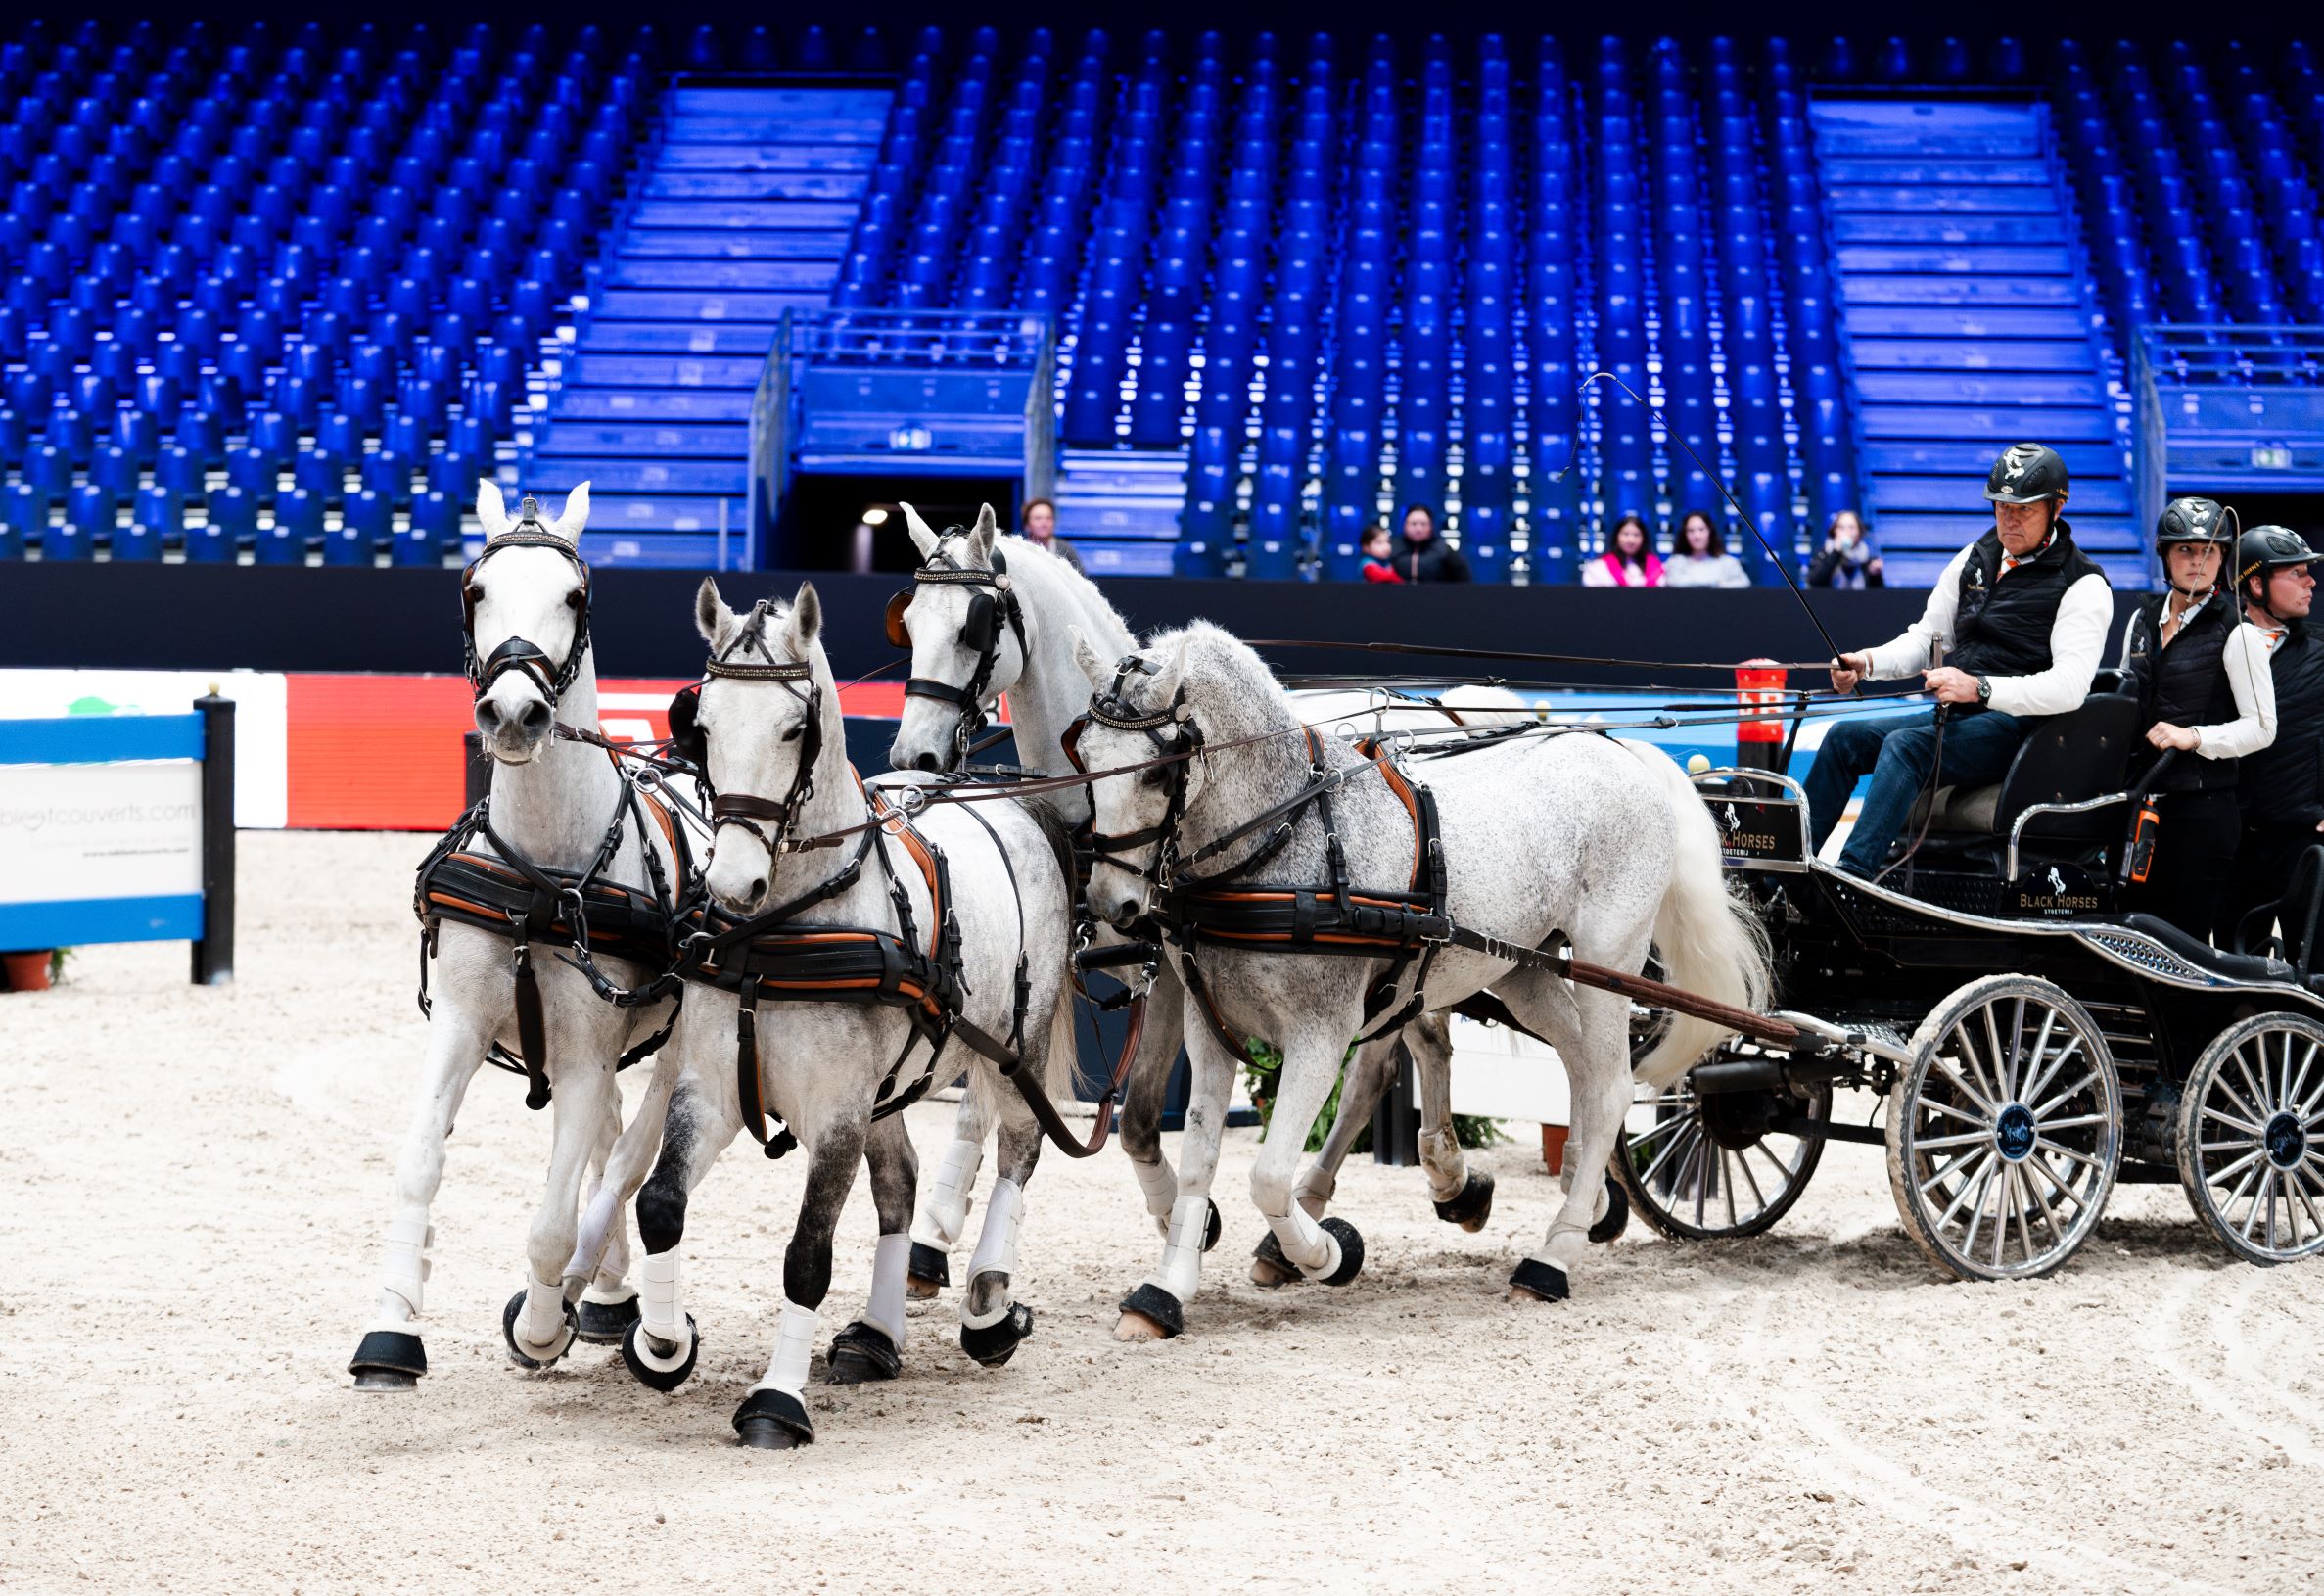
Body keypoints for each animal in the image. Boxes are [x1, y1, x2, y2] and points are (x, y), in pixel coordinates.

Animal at [344, 481, 682, 1393]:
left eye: (575, 597)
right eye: (474, 590)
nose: (515, 713)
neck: (542, 880)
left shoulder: (586, 1052)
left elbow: (554, 1220)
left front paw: (537, 1327)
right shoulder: (463, 1024)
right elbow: (419, 1164)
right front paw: (391, 1328)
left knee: (630, 1155)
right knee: (610, 1143)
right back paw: (609, 1296)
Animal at [627, 583, 1078, 1449]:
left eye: (793, 728)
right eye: (702, 724)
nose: (732, 883)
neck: (777, 932)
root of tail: (1009, 803)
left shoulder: (834, 1112)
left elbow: (806, 1256)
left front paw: (776, 1401)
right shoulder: (713, 1088)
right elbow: (660, 1205)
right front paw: (663, 1342)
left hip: (1017, 1048)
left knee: (1018, 1152)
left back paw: (990, 1307)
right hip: (890, 1086)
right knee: (900, 1183)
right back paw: (877, 1334)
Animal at [1064, 622, 1756, 1338]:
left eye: (1155, 770)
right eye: (1083, 757)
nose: (1112, 905)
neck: (1282, 842)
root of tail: (1621, 749)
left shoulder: (1322, 1033)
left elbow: (1269, 1176)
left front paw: (1326, 1253)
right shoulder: (1209, 1026)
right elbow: (1201, 1158)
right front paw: (1165, 1290)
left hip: (1609, 960)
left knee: (1614, 1084)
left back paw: (1551, 1258)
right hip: (1524, 969)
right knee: (1584, 1069)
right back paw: (1580, 1202)